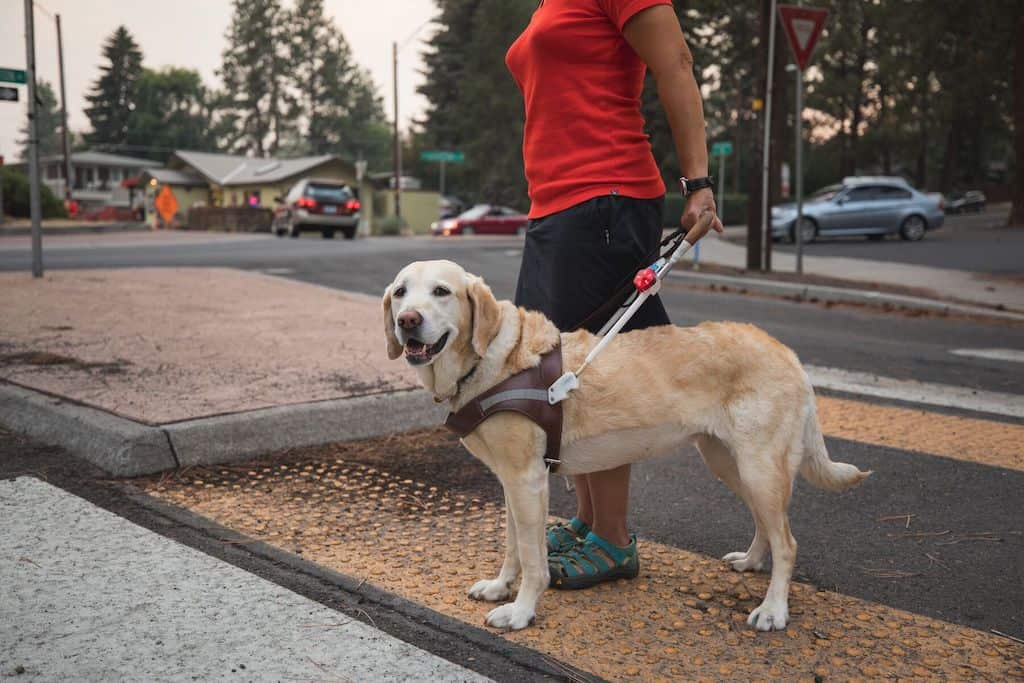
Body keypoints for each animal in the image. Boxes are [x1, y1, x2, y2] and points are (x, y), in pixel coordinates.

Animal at [385, 259, 872, 634]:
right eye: (401, 292)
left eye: (442, 291)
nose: (407, 320)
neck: (492, 362)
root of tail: (786, 351)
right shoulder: (512, 483)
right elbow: (512, 546)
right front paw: (500, 587)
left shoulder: (528, 481)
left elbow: (533, 559)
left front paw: (521, 611)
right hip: (729, 463)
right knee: (766, 524)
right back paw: (751, 561)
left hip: (759, 467)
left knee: (787, 541)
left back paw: (773, 610)